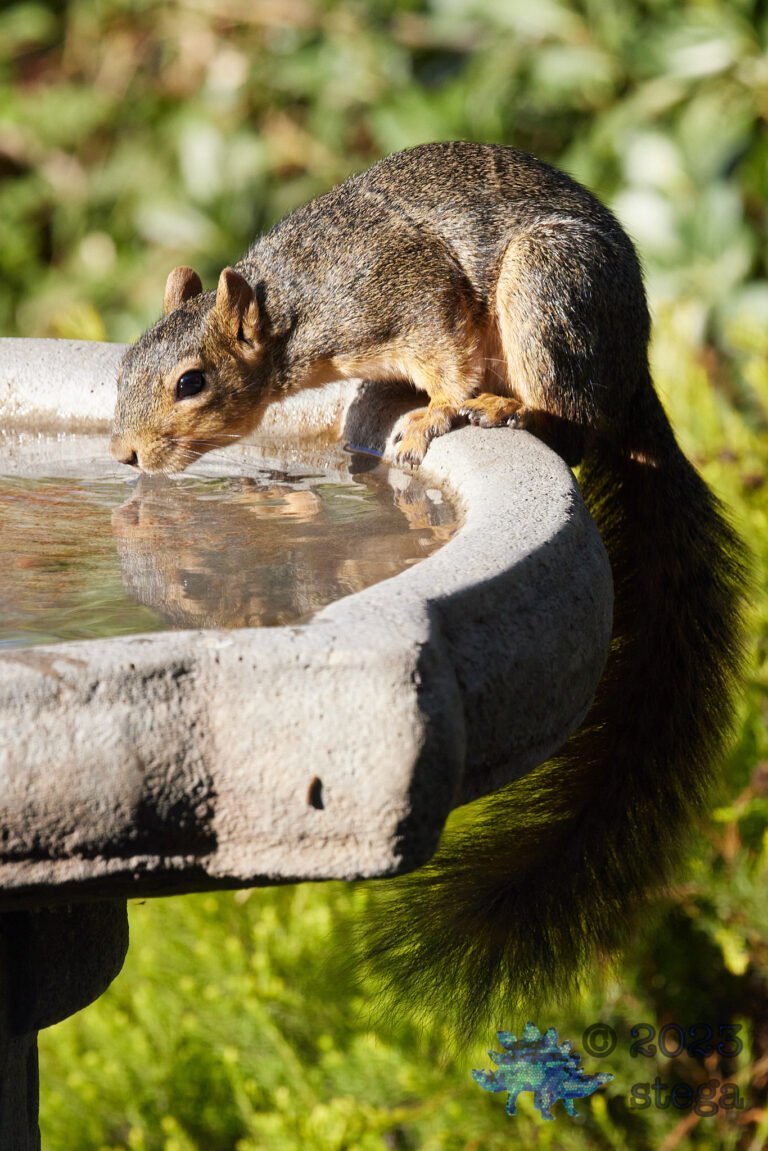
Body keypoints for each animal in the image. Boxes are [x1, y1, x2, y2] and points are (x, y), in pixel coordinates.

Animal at [111, 141, 748, 1040]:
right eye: (125, 364)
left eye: (192, 382)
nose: (125, 456)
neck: (299, 306)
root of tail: (635, 368)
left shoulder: (408, 295)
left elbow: (445, 350)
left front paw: (437, 410)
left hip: (550, 290)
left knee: (572, 424)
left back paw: (499, 412)